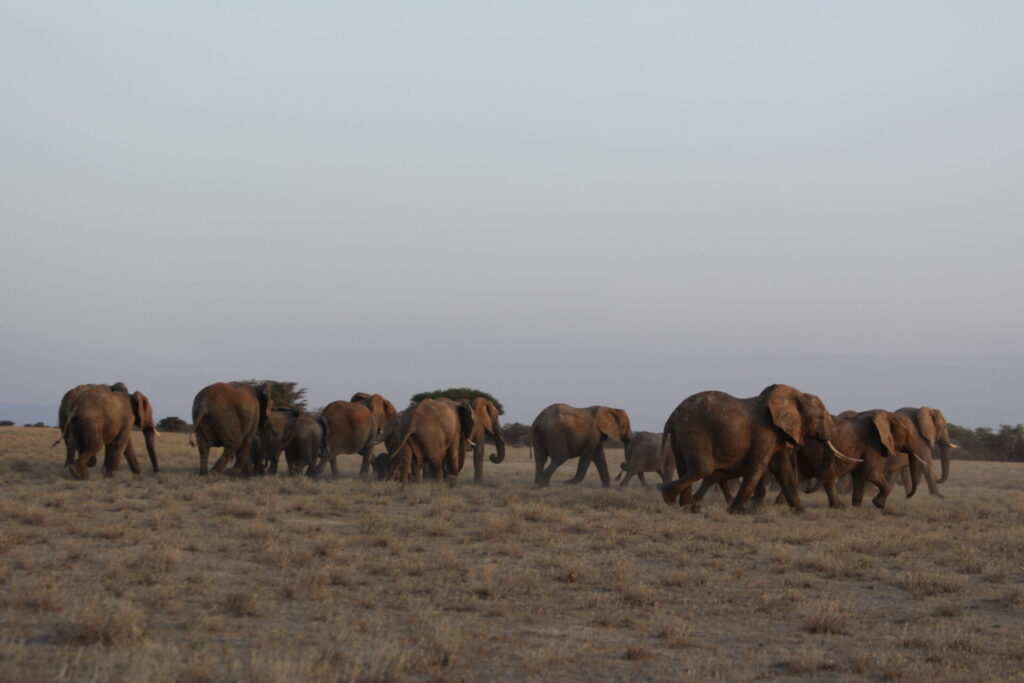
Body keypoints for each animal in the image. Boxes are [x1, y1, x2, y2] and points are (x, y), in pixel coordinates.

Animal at [659, 384, 844, 512]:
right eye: (821, 418)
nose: (806, 490)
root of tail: (673, 416)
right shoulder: (765, 431)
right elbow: (759, 465)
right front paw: (737, 511)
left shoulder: (777, 433)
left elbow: (783, 468)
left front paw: (801, 512)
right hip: (694, 431)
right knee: (704, 468)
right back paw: (668, 497)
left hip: (681, 435)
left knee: (685, 468)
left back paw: (687, 507)